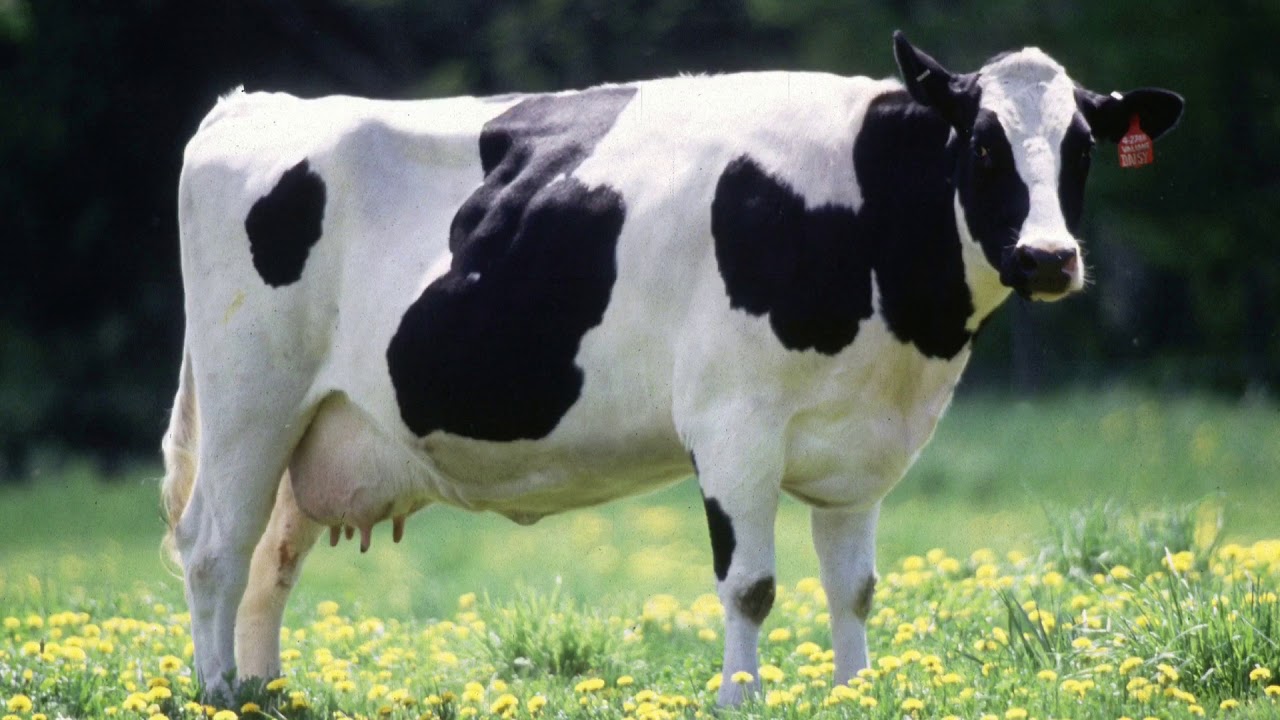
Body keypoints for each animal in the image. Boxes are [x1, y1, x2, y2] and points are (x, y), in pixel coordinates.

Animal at [161, 31, 1182, 705]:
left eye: (1082, 147)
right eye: (982, 142)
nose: (1049, 257)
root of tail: (252, 105)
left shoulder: (861, 448)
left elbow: (853, 587)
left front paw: (856, 692)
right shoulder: (734, 425)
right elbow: (751, 585)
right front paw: (741, 700)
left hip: (317, 425)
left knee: (270, 559)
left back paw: (265, 692)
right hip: (250, 398)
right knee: (215, 547)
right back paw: (218, 693)